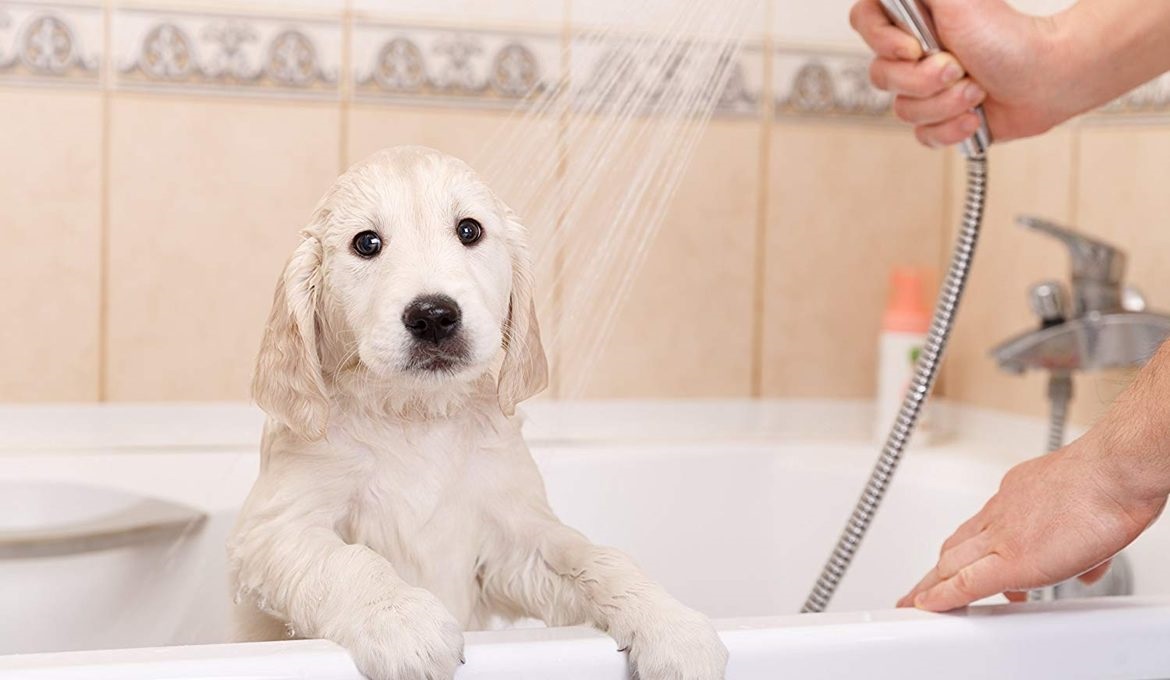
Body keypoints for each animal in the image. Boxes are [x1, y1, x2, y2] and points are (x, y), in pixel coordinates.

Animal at [223, 146, 725, 678]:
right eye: (367, 243)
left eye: (469, 230)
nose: (433, 316)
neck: (414, 416)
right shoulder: (274, 531)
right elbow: (345, 561)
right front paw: (402, 619)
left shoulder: (515, 539)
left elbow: (595, 559)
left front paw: (672, 624)